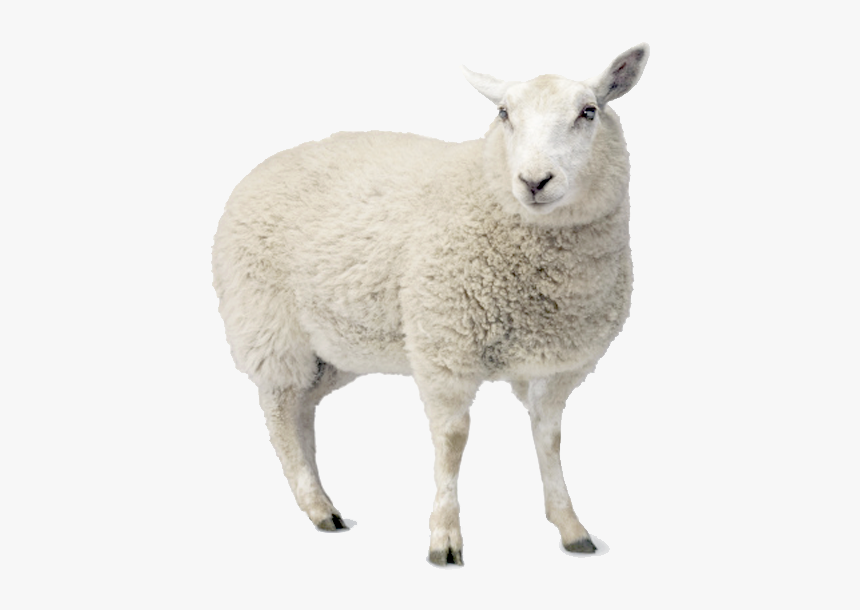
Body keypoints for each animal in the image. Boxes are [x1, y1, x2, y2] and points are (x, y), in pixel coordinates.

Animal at [212, 43, 649, 566]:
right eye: (504, 114)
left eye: (589, 112)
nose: (534, 181)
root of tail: (262, 166)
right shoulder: (445, 346)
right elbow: (453, 440)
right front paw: (444, 538)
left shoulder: (557, 365)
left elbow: (550, 438)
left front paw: (571, 527)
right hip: (269, 325)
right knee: (279, 411)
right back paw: (317, 506)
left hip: (336, 346)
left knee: (303, 408)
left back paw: (324, 497)